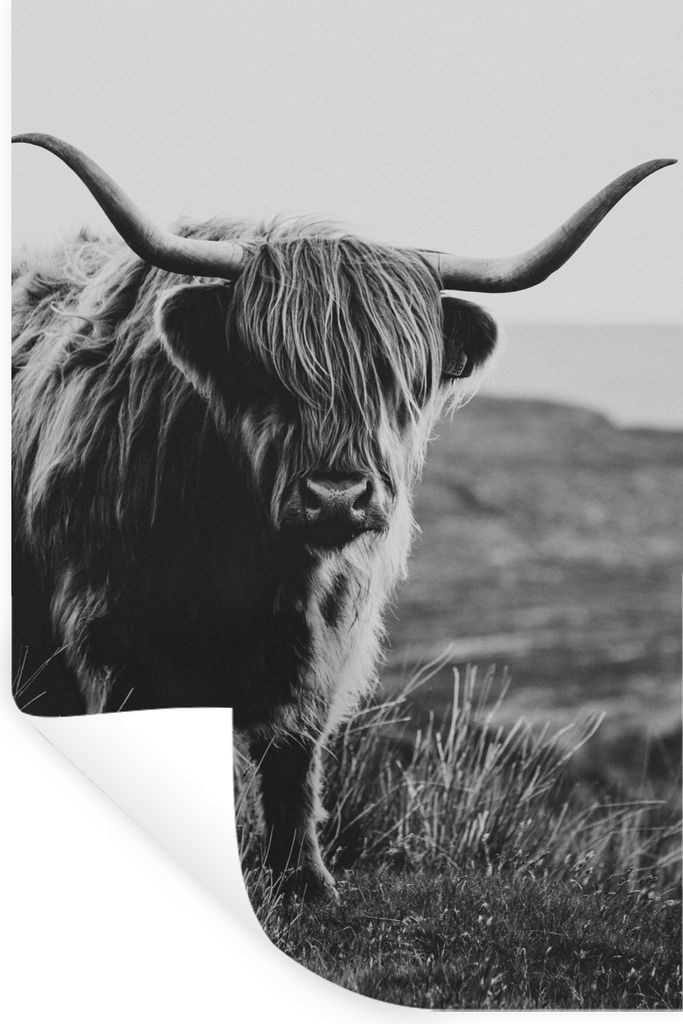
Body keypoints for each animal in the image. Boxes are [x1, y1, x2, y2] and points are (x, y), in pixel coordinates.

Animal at [12, 134, 674, 896]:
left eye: (397, 380)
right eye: (266, 372)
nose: (336, 495)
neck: (252, 565)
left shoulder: (327, 641)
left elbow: (294, 758)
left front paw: (306, 878)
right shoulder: (112, 629)